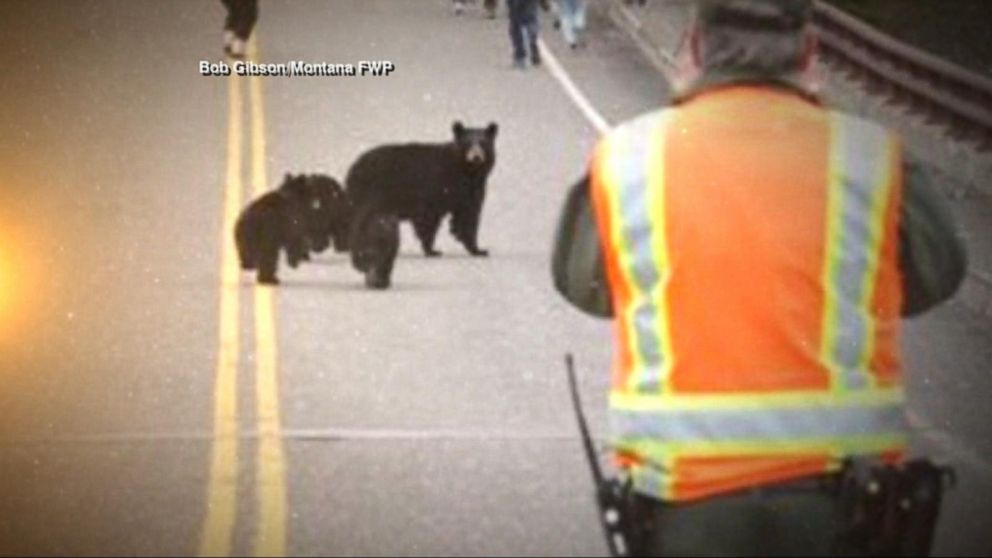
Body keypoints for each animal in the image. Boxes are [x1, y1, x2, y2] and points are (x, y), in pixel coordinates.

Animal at [346, 120, 500, 258]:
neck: (466, 173)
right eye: (467, 143)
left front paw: (479, 250)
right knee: (362, 219)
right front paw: (433, 250)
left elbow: (468, 215)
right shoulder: (436, 187)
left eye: (483, 143)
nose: (476, 157)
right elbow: (429, 219)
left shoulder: (470, 191)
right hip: (371, 194)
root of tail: (354, 167)